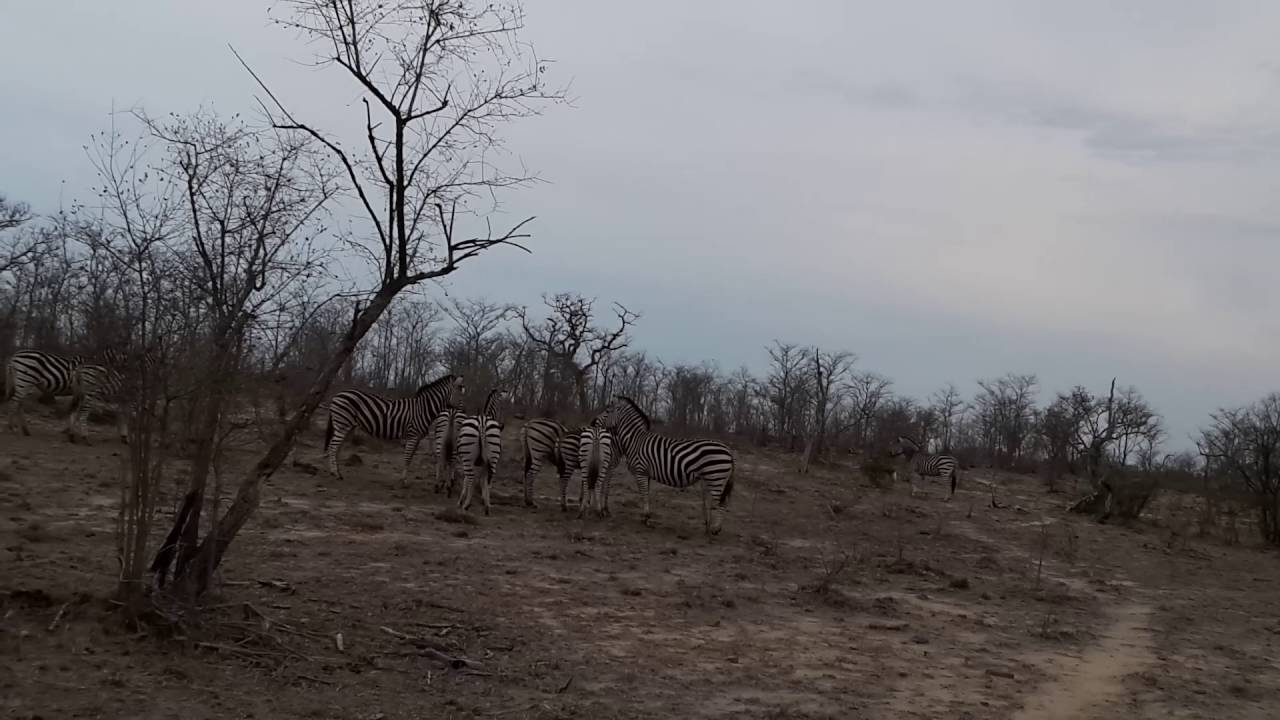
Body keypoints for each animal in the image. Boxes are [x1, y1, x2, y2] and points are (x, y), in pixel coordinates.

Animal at [323, 373, 465, 485]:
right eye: (459, 390)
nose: (462, 412)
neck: (423, 409)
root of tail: (338, 394)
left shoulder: (417, 438)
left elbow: (410, 458)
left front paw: (404, 478)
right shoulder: (413, 435)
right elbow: (407, 458)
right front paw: (403, 481)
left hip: (347, 426)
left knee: (337, 448)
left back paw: (336, 472)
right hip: (342, 424)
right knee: (333, 447)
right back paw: (336, 474)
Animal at [599, 395, 735, 536]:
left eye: (607, 411)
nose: (593, 422)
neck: (635, 441)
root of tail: (728, 450)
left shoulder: (641, 471)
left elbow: (644, 495)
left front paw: (646, 518)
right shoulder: (646, 474)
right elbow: (646, 494)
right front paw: (645, 516)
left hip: (716, 477)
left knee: (720, 503)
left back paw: (716, 529)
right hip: (711, 479)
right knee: (716, 502)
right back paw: (708, 527)